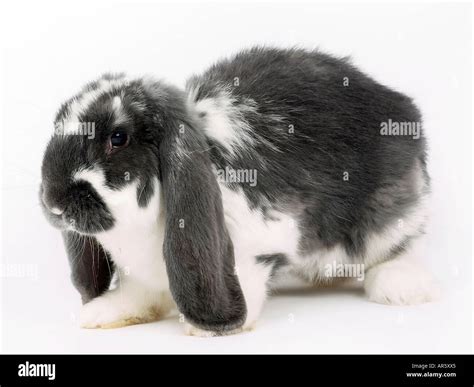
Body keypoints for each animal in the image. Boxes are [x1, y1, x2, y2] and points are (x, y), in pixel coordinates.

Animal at [41, 45, 440, 336]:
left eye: (118, 138)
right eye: (58, 123)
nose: (53, 203)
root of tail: (403, 109)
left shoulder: (258, 242)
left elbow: (248, 279)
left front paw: (208, 329)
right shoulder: (143, 274)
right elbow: (140, 294)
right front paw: (103, 312)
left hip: (391, 217)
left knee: (402, 244)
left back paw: (398, 286)